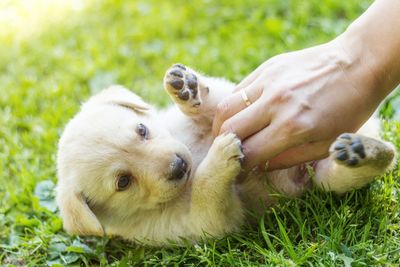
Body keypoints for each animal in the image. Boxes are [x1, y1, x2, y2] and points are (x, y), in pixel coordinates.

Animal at [55, 63, 394, 247]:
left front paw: (188, 89)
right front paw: (218, 160)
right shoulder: (206, 224)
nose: (179, 165)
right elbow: (207, 193)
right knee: (380, 160)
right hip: (326, 180)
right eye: (123, 182)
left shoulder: (217, 113)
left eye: (142, 130)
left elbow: (219, 102)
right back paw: (365, 152)